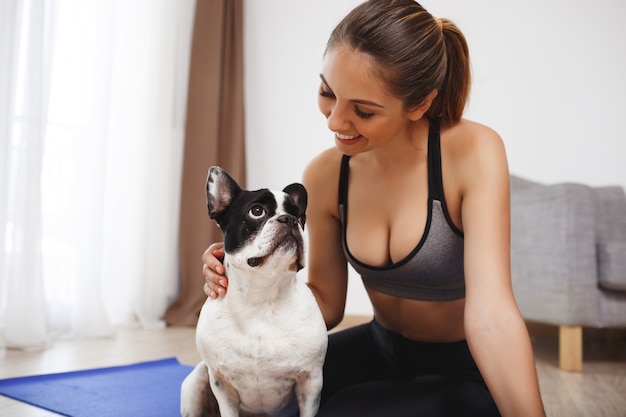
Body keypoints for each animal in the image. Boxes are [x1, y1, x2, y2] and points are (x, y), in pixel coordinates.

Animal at [180, 166, 326, 416]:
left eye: (301, 217)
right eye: (257, 211)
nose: (290, 219)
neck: (263, 294)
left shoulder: (311, 381)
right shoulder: (221, 383)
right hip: (197, 381)